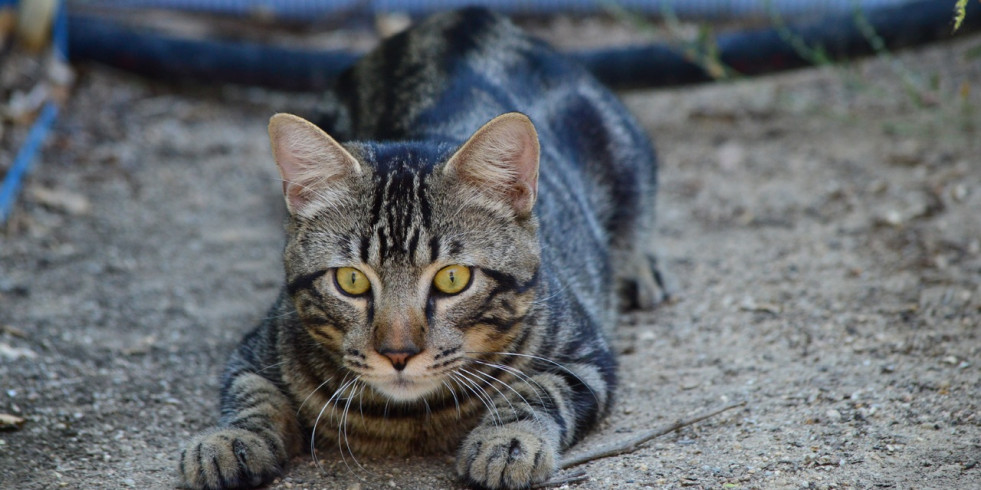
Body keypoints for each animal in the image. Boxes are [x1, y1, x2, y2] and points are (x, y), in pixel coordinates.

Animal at [181, 7, 664, 490]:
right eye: (350, 280)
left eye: (453, 278)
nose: (398, 353)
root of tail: (463, 16)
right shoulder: (255, 352)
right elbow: (254, 396)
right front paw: (227, 441)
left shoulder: (584, 358)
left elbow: (537, 391)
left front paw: (507, 442)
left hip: (626, 151)